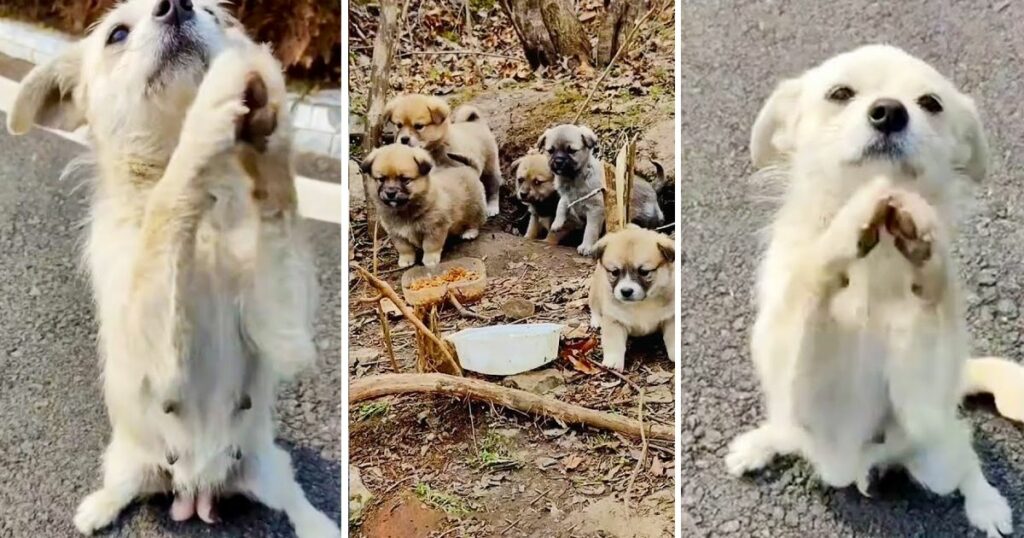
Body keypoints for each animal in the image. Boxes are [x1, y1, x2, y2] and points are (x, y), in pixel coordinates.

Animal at [7, 1, 339, 536]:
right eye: (117, 33)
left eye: (215, 15)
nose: (178, 5)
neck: (204, 223)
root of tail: (197, 489)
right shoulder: (155, 357)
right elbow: (167, 200)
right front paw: (205, 118)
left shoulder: (285, 333)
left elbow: (277, 199)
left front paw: (269, 97)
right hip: (126, 460)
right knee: (125, 488)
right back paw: (96, 508)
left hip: (268, 465)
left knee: (292, 498)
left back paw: (320, 524)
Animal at [589, 224, 675, 370]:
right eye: (615, 272)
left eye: (644, 272)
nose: (626, 291)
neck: (642, 303)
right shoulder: (614, 320)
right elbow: (614, 342)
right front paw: (613, 361)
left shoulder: (670, 318)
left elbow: (673, 338)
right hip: (595, 292)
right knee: (594, 307)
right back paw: (596, 321)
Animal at [724, 45, 1011, 536]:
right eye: (840, 93)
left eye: (930, 103)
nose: (890, 112)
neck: (874, 269)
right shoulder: (811, 399)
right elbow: (811, 283)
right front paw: (844, 229)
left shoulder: (922, 404)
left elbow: (935, 298)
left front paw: (924, 242)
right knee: (784, 428)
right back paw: (759, 444)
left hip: (937, 458)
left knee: (965, 452)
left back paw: (986, 503)